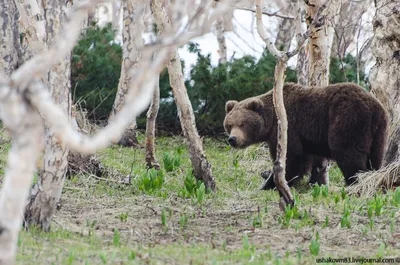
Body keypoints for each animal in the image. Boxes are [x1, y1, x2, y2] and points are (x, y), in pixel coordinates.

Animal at [223, 82, 390, 188]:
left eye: (243, 124)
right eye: (229, 125)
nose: (233, 139)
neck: (272, 120)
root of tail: (374, 107)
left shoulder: (288, 129)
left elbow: (292, 158)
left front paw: (273, 183)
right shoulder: (310, 138)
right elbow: (314, 160)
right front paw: (316, 181)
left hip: (348, 119)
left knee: (348, 153)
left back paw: (353, 182)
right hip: (378, 132)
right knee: (375, 157)